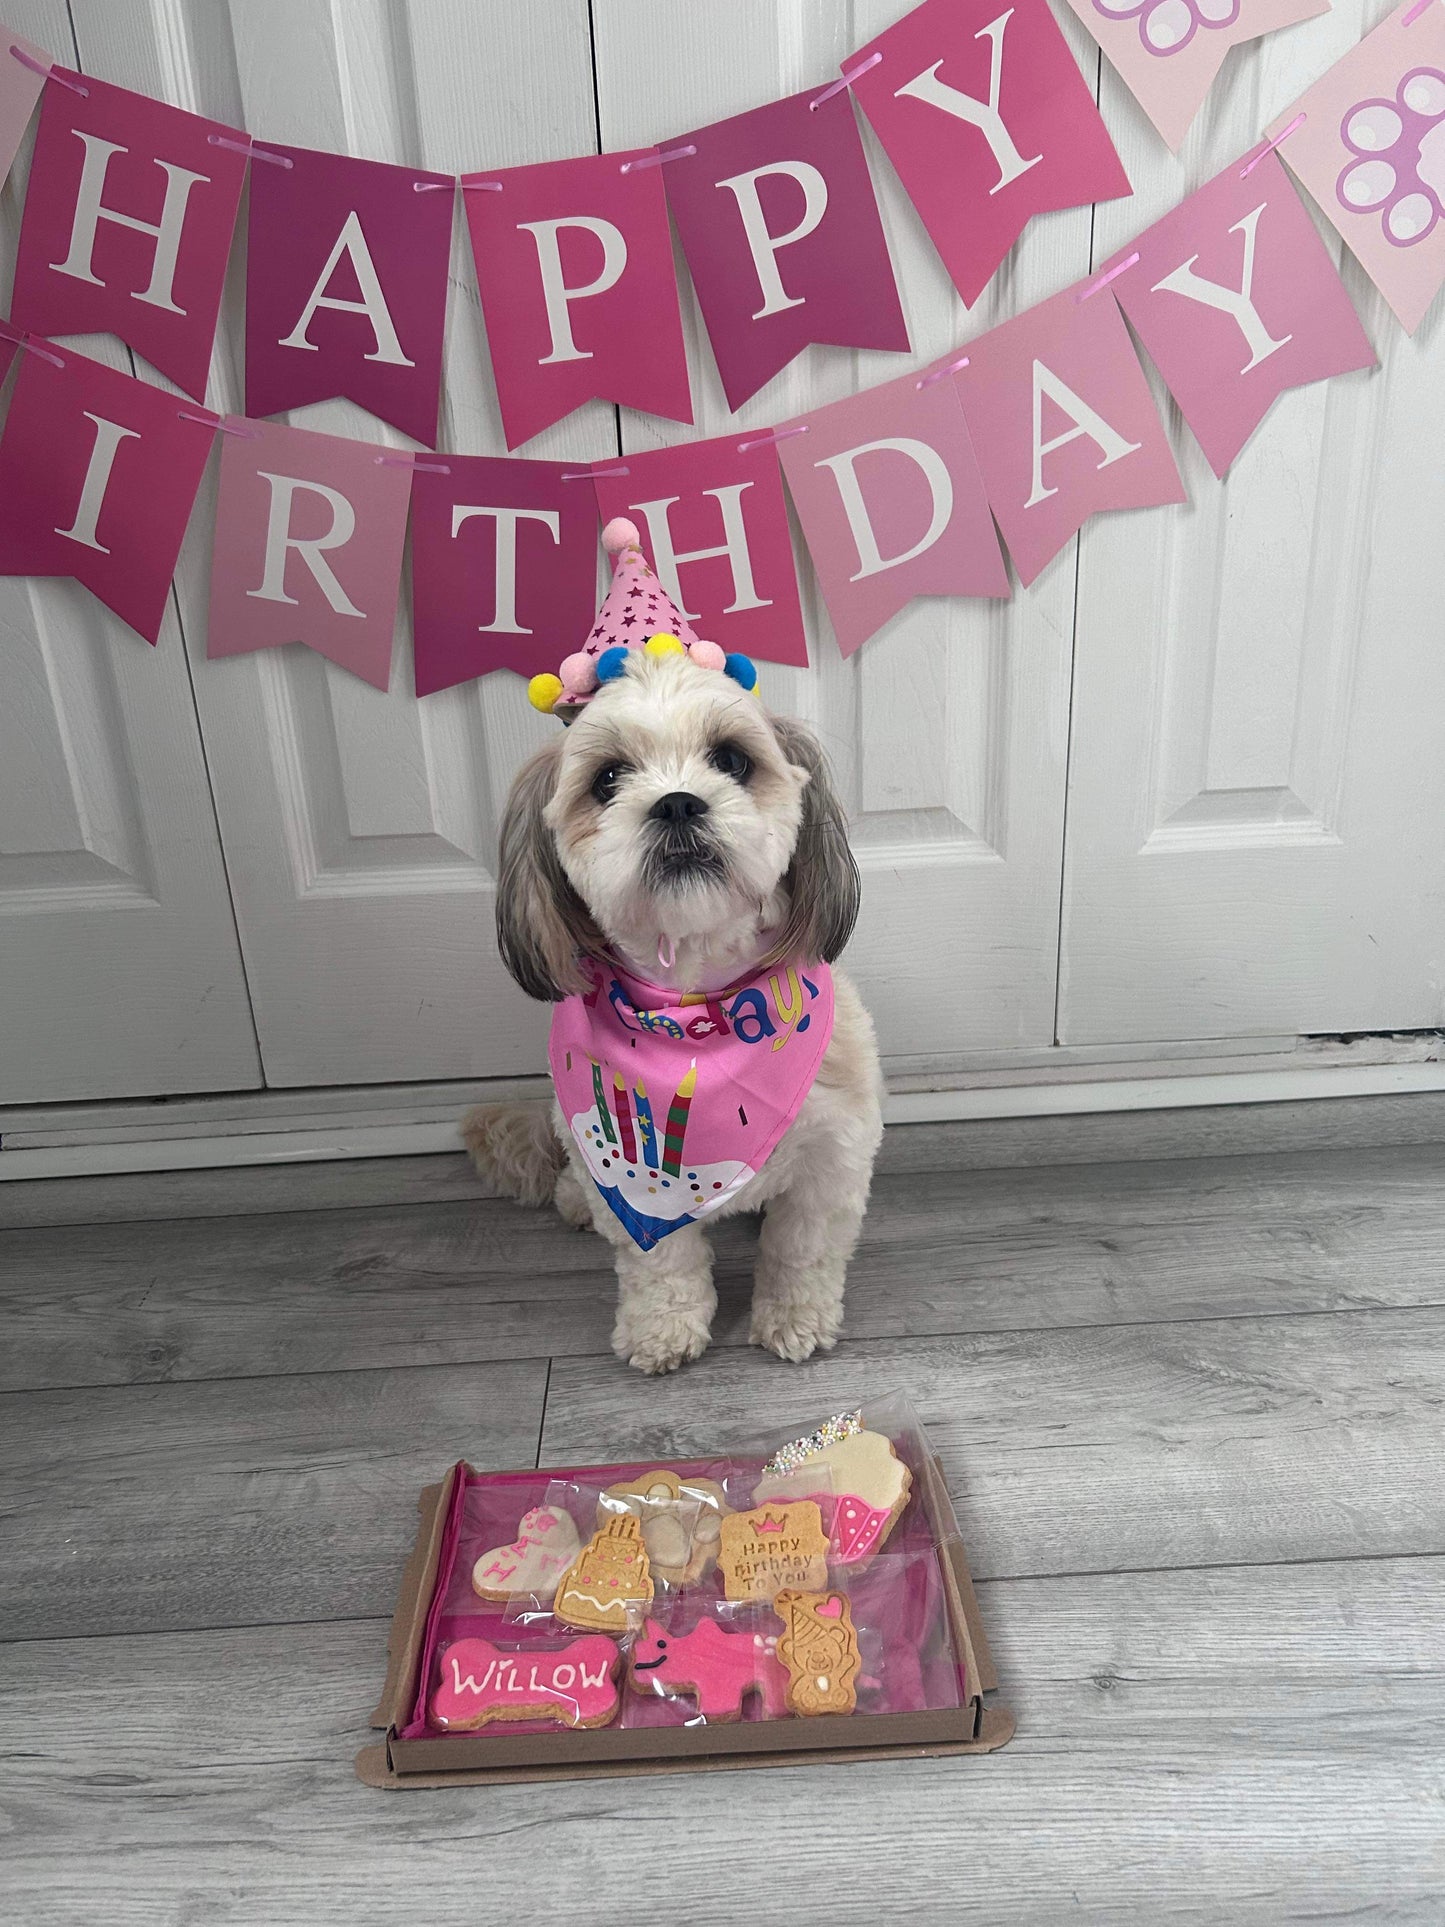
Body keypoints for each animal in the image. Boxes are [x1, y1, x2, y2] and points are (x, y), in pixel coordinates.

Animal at [470, 520, 890, 1379]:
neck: (700, 1006)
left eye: (730, 759)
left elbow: (802, 1252)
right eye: (606, 779)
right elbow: (659, 1260)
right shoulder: (637, 1198)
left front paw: (793, 1319)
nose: (675, 803)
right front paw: (662, 1330)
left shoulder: (831, 1160)